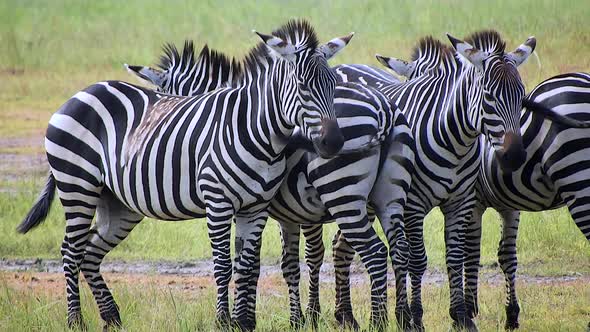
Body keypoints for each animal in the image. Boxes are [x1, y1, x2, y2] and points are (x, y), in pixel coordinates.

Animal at [17, 19, 352, 330]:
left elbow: (247, 265)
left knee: (88, 252)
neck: (255, 130)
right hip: (77, 185)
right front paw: (224, 320)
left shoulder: (256, 207)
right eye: (304, 86)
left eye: (333, 85)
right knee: (70, 250)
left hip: (117, 203)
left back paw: (111, 318)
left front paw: (245, 321)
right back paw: (76, 321)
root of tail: (84, 91)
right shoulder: (219, 203)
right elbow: (225, 265)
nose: (334, 142)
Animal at [127, 39, 418, 330]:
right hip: (387, 198)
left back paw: (378, 321)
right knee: (398, 250)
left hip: (343, 195)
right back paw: (404, 317)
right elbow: (289, 264)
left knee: (375, 253)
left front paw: (250, 317)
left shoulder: (257, 207)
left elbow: (252, 263)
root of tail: (385, 109)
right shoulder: (288, 213)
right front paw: (298, 318)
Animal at [332, 30, 536, 330]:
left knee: (342, 246)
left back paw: (346, 316)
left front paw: (461, 316)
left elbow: (455, 256)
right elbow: (416, 260)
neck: (456, 141)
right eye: (488, 96)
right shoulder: (413, 206)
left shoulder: (461, 204)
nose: (514, 157)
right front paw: (415, 316)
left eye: (522, 96)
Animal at [380, 49, 590, 330]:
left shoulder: (473, 202)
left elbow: (470, 252)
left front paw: (466, 311)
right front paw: (506, 314)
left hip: (578, 182)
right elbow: (504, 255)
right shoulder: (504, 204)